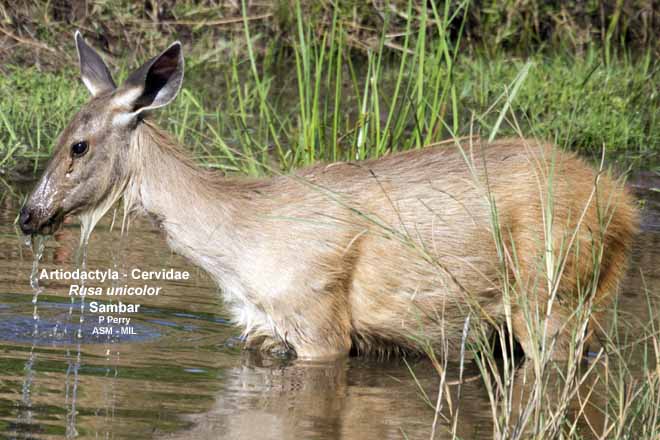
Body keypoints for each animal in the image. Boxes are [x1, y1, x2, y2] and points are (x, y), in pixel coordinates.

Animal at [19, 32, 638, 361]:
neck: (238, 248)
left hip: (551, 291)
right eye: (58, 136)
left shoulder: (319, 320)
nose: (28, 215)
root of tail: (621, 204)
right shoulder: (261, 330)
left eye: (78, 145)